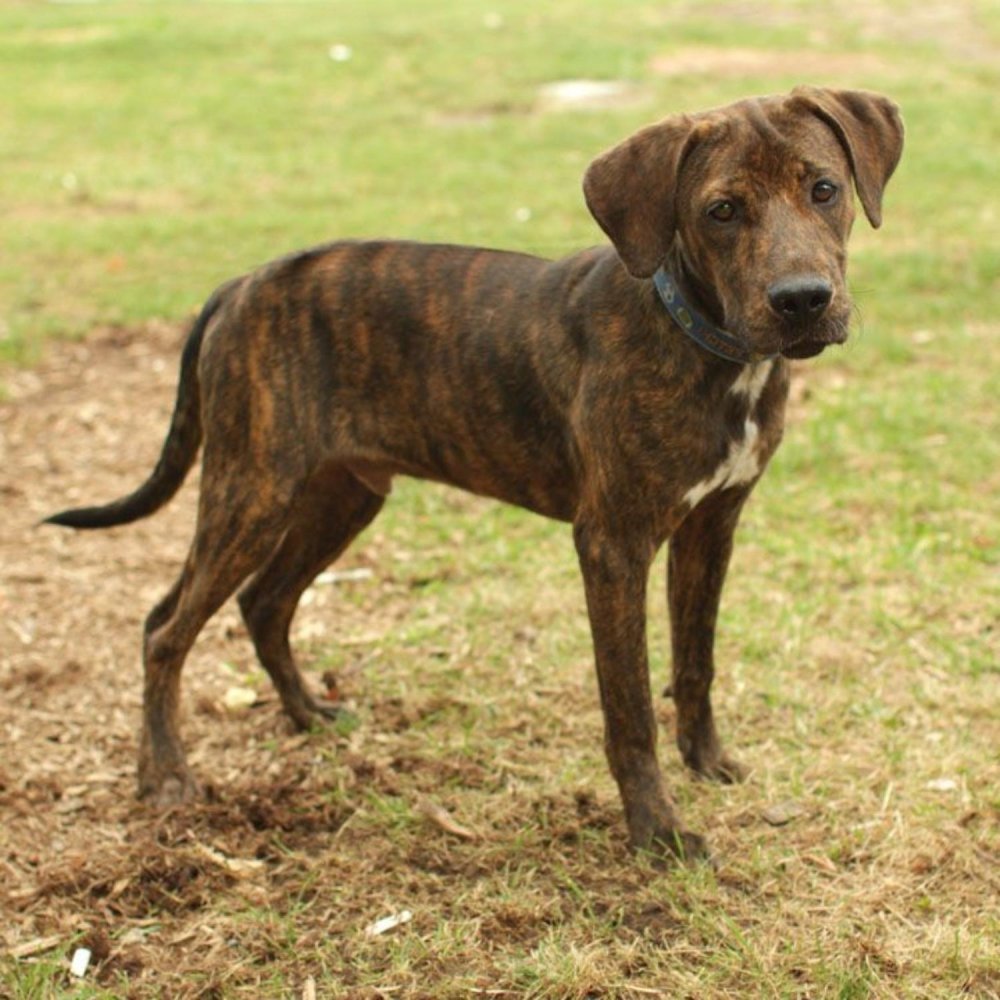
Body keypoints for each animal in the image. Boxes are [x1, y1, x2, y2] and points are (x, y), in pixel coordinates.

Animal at [48, 88, 908, 860]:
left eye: (824, 189)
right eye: (722, 211)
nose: (802, 301)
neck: (700, 340)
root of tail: (242, 283)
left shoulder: (712, 525)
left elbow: (695, 661)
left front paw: (707, 763)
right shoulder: (614, 544)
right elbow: (629, 705)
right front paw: (656, 832)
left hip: (342, 494)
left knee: (265, 603)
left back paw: (307, 716)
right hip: (251, 489)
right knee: (165, 627)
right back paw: (164, 776)